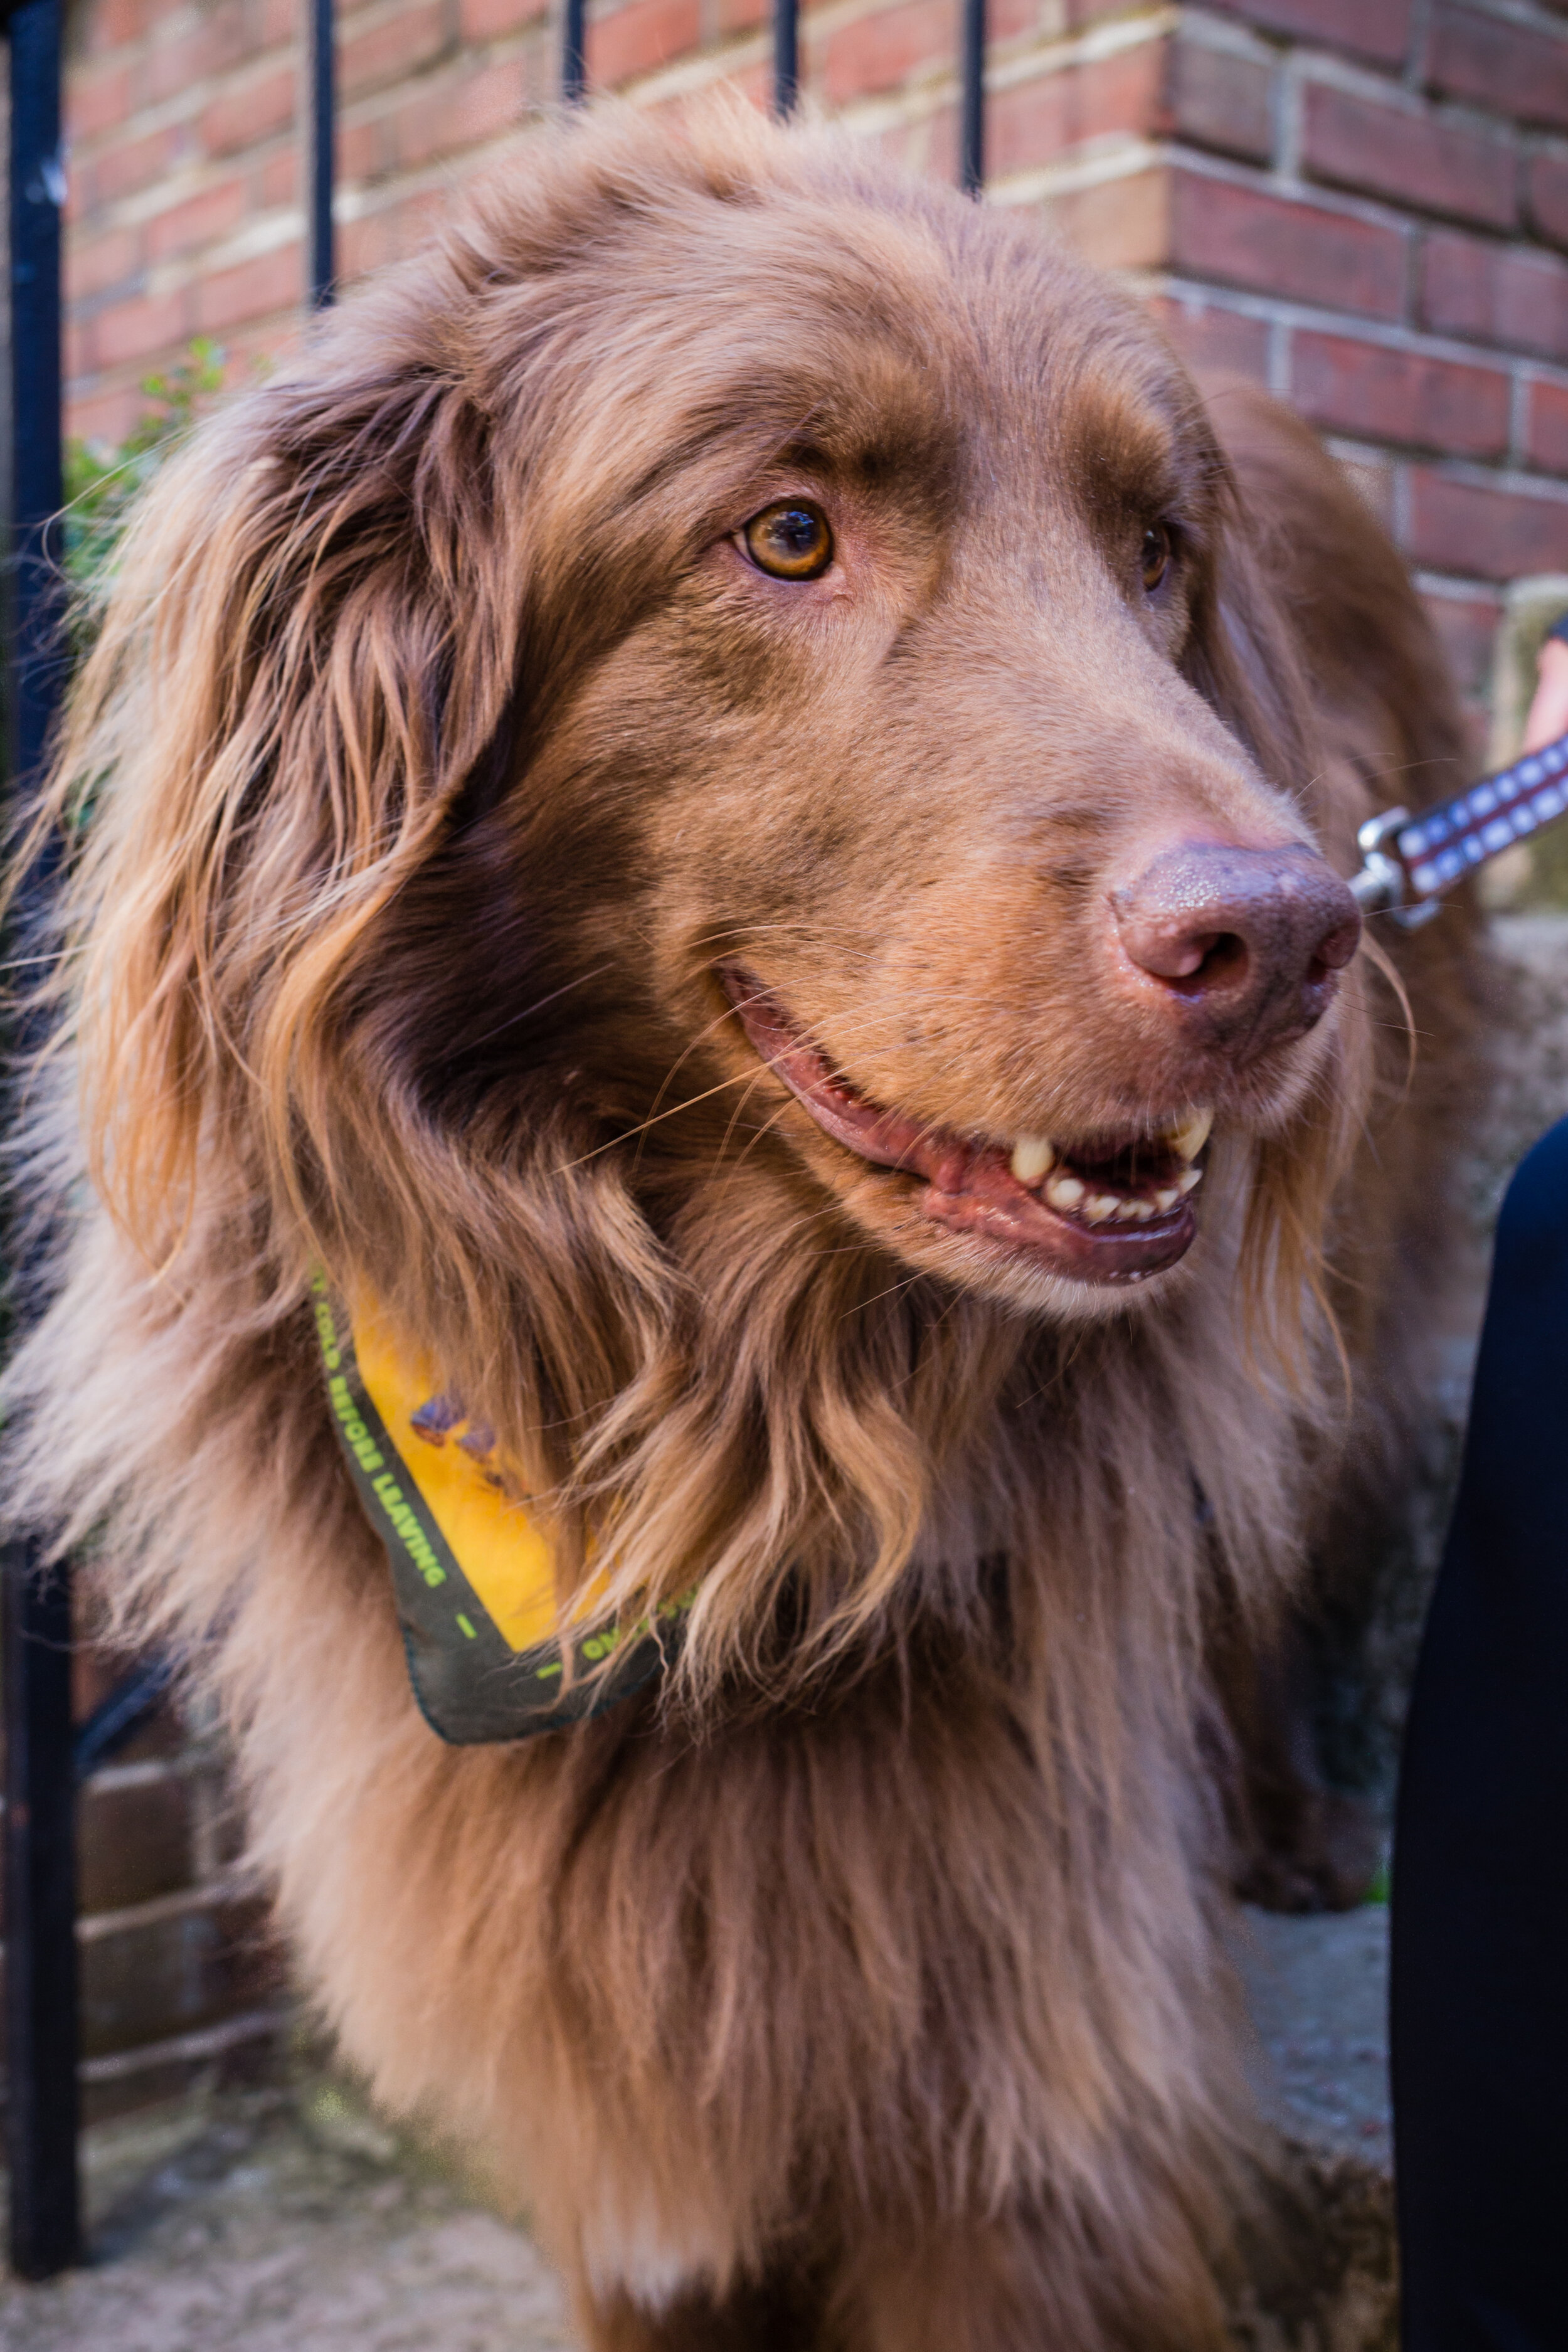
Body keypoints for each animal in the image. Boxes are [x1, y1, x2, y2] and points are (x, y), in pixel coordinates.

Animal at [3, 105, 1485, 2352]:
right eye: (783, 535)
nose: (1289, 936)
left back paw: (1293, 1823)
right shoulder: (602, 2062)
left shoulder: (1009, 2075)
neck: (734, 1423)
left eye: (1155, 557)